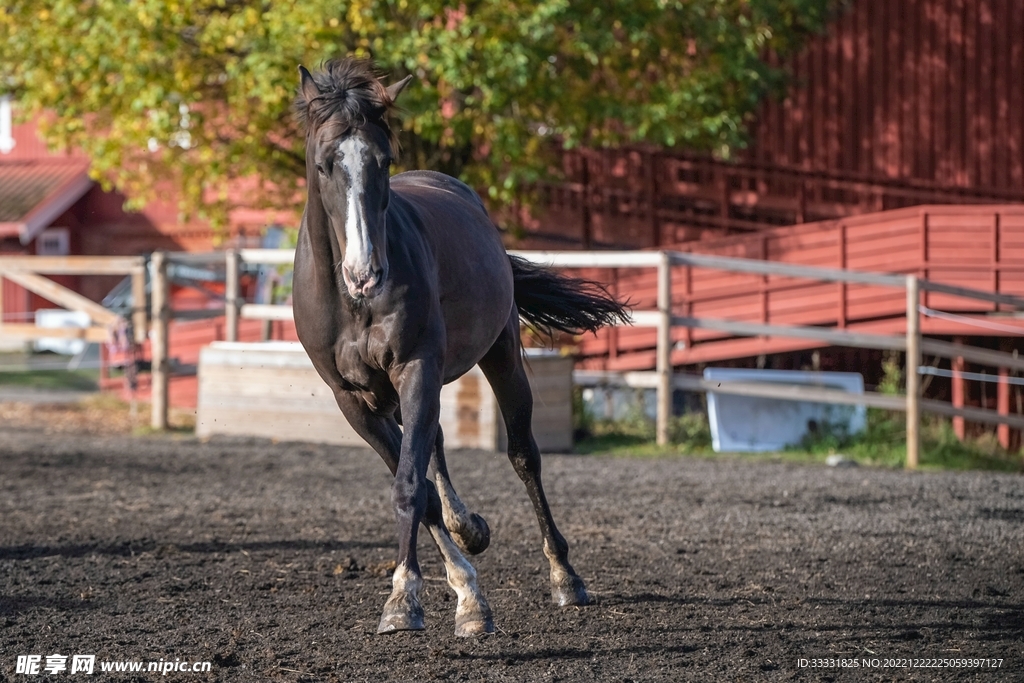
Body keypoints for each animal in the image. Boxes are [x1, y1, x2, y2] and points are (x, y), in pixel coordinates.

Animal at [291, 57, 629, 637]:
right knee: (437, 446)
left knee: (523, 455)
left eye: (384, 159)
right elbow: (418, 484)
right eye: (323, 163)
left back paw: (564, 576)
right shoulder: (352, 399)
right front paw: (463, 590)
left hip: (501, 355)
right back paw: (467, 530)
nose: (365, 274)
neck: (351, 304)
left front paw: (404, 600)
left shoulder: (417, 368)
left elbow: (409, 483)